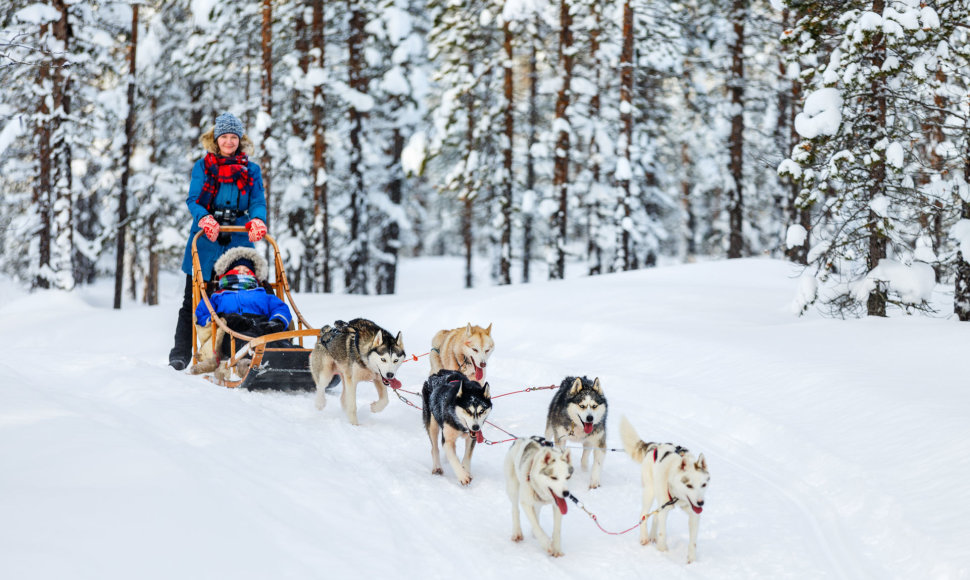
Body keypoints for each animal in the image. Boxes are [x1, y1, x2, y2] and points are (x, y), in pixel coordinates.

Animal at [620, 414, 712, 564]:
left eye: (703, 485)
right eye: (689, 485)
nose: (700, 503)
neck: (678, 496)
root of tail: (655, 445)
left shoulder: (694, 515)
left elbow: (693, 542)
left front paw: (691, 560)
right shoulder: (665, 508)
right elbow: (662, 533)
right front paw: (662, 551)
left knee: (655, 515)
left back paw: (652, 536)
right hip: (650, 491)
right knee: (644, 515)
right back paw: (644, 537)